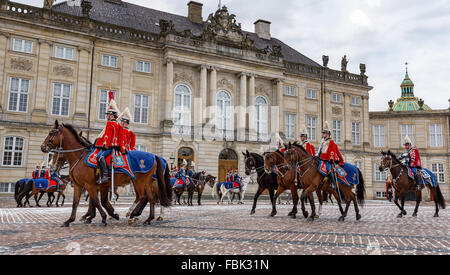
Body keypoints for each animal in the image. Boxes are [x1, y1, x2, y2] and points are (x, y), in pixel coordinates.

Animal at [40, 120, 172, 226]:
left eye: (52, 133)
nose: (43, 147)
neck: (80, 156)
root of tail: (155, 156)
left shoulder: (90, 185)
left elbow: (96, 201)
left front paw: (102, 217)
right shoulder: (83, 185)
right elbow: (77, 202)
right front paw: (71, 220)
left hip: (140, 182)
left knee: (144, 196)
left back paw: (135, 214)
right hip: (146, 182)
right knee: (151, 198)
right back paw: (147, 218)